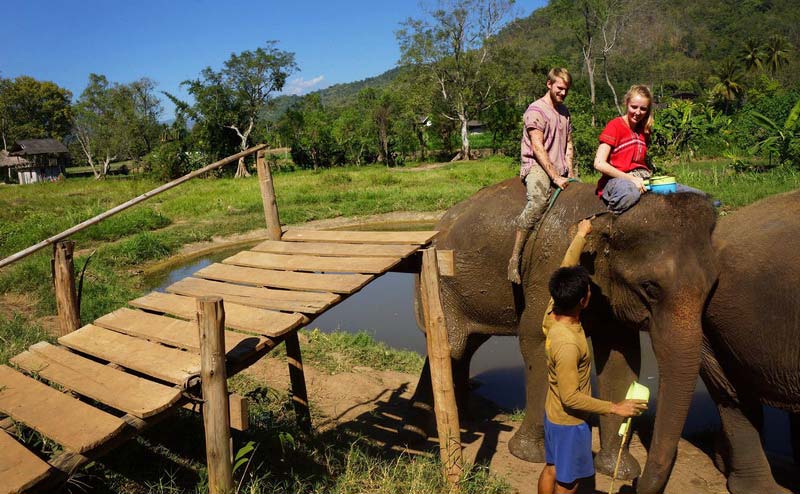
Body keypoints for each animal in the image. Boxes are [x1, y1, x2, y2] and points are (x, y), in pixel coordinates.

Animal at [406, 178, 720, 494]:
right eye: (650, 287)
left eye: (712, 288)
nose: (633, 483)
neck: (607, 213)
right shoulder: (549, 267)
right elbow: (534, 338)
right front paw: (530, 455)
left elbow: (622, 357)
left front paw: (617, 468)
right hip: (439, 280)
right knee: (453, 344)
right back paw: (423, 426)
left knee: (463, 346)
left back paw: (452, 416)